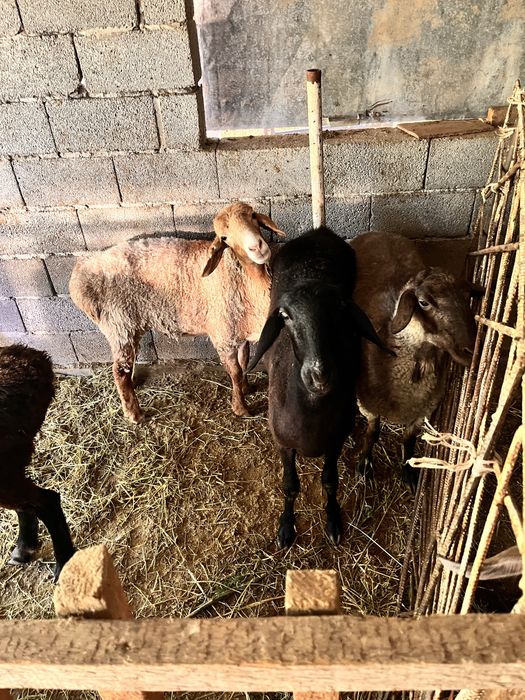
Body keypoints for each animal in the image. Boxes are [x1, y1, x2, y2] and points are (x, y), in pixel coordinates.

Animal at [69, 202, 285, 422]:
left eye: (253, 216)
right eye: (224, 237)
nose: (257, 247)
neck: (244, 277)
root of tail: (80, 272)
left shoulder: (238, 332)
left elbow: (244, 361)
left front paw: (246, 387)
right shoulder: (223, 335)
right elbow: (234, 371)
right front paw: (241, 408)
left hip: (129, 326)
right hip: (119, 324)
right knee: (119, 370)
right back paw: (134, 414)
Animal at [246, 228, 393, 547]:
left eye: (340, 310)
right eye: (285, 316)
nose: (319, 375)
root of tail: (318, 231)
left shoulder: (335, 440)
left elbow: (330, 481)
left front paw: (334, 520)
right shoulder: (283, 442)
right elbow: (290, 486)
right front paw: (286, 528)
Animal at [350, 231, 477, 491]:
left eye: (468, 296)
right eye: (424, 302)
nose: (471, 348)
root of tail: (378, 232)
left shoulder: (424, 409)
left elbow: (409, 439)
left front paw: (408, 471)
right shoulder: (367, 405)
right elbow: (372, 432)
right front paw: (364, 464)